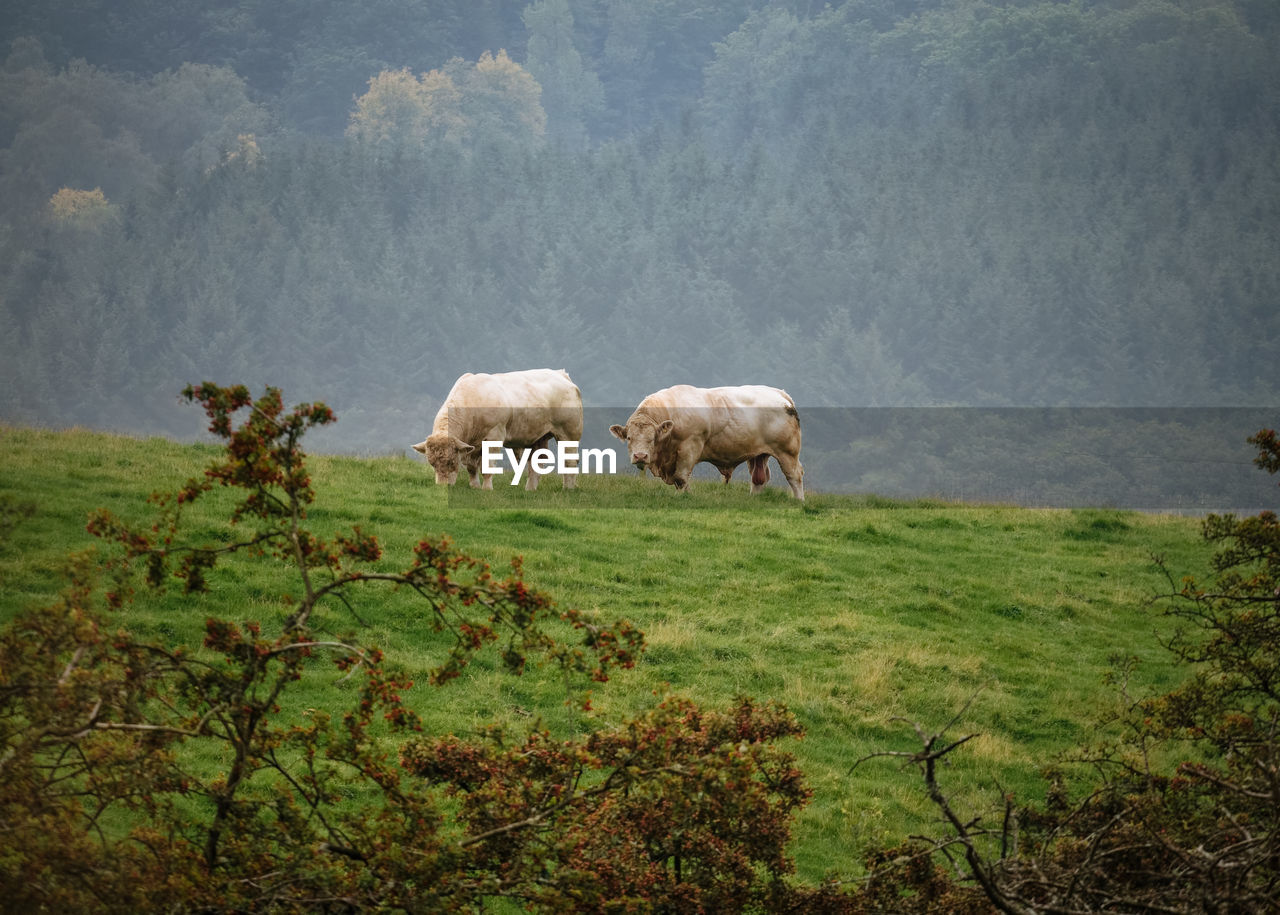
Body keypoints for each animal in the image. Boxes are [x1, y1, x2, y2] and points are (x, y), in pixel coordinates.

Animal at [412, 368, 583, 491]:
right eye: (432, 463)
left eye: (451, 461)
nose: (442, 485)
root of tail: (561, 374)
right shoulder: (471, 446)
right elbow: (471, 467)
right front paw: (474, 486)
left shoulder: (494, 436)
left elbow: (487, 467)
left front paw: (487, 489)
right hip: (538, 436)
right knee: (536, 464)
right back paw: (530, 489)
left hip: (569, 433)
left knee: (570, 462)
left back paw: (568, 488)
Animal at [606, 386, 798, 501]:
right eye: (629, 438)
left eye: (652, 438)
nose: (640, 456)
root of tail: (780, 393)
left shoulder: (690, 446)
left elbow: (681, 478)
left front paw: (684, 497)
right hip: (758, 454)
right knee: (759, 478)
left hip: (788, 451)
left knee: (795, 475)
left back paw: (799, 501)